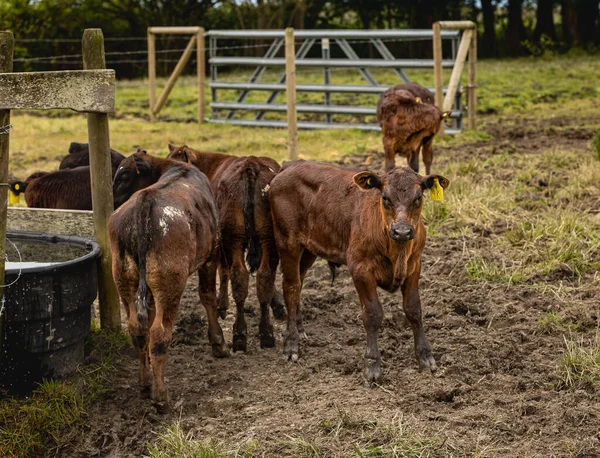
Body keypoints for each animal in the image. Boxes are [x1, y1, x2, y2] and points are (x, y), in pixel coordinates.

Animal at [109, 151, 229, 412]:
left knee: (138, 328)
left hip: (124, 279)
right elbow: (207, 296)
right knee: (159, 333)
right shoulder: (210, 256)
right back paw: (161, 395)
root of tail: (146, 200)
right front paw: (218, 343)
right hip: (171, 284)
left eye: (123, 176)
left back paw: (145, 384)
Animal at [165, 145, 284, 352]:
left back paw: (241, 334)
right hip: (262, 236)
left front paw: (222, 304)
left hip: (234, 237)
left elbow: (223, 270)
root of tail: (251, 166)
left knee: (240, 275)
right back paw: (261, 334)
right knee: (260, 276)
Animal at [270, 161, 448, 386]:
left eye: (418, 197)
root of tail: (289, 166)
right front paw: (372, 365)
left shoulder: (414, 266)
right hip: (287, 243)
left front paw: (425, 356)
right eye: (385, 197)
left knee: (299, 283)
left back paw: (301, 330)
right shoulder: (360, 269)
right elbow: (372, 314)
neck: (396, 249)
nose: (402, 231)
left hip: (309, 249)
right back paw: (291, 343)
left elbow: (414, 309)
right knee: (291, 288)